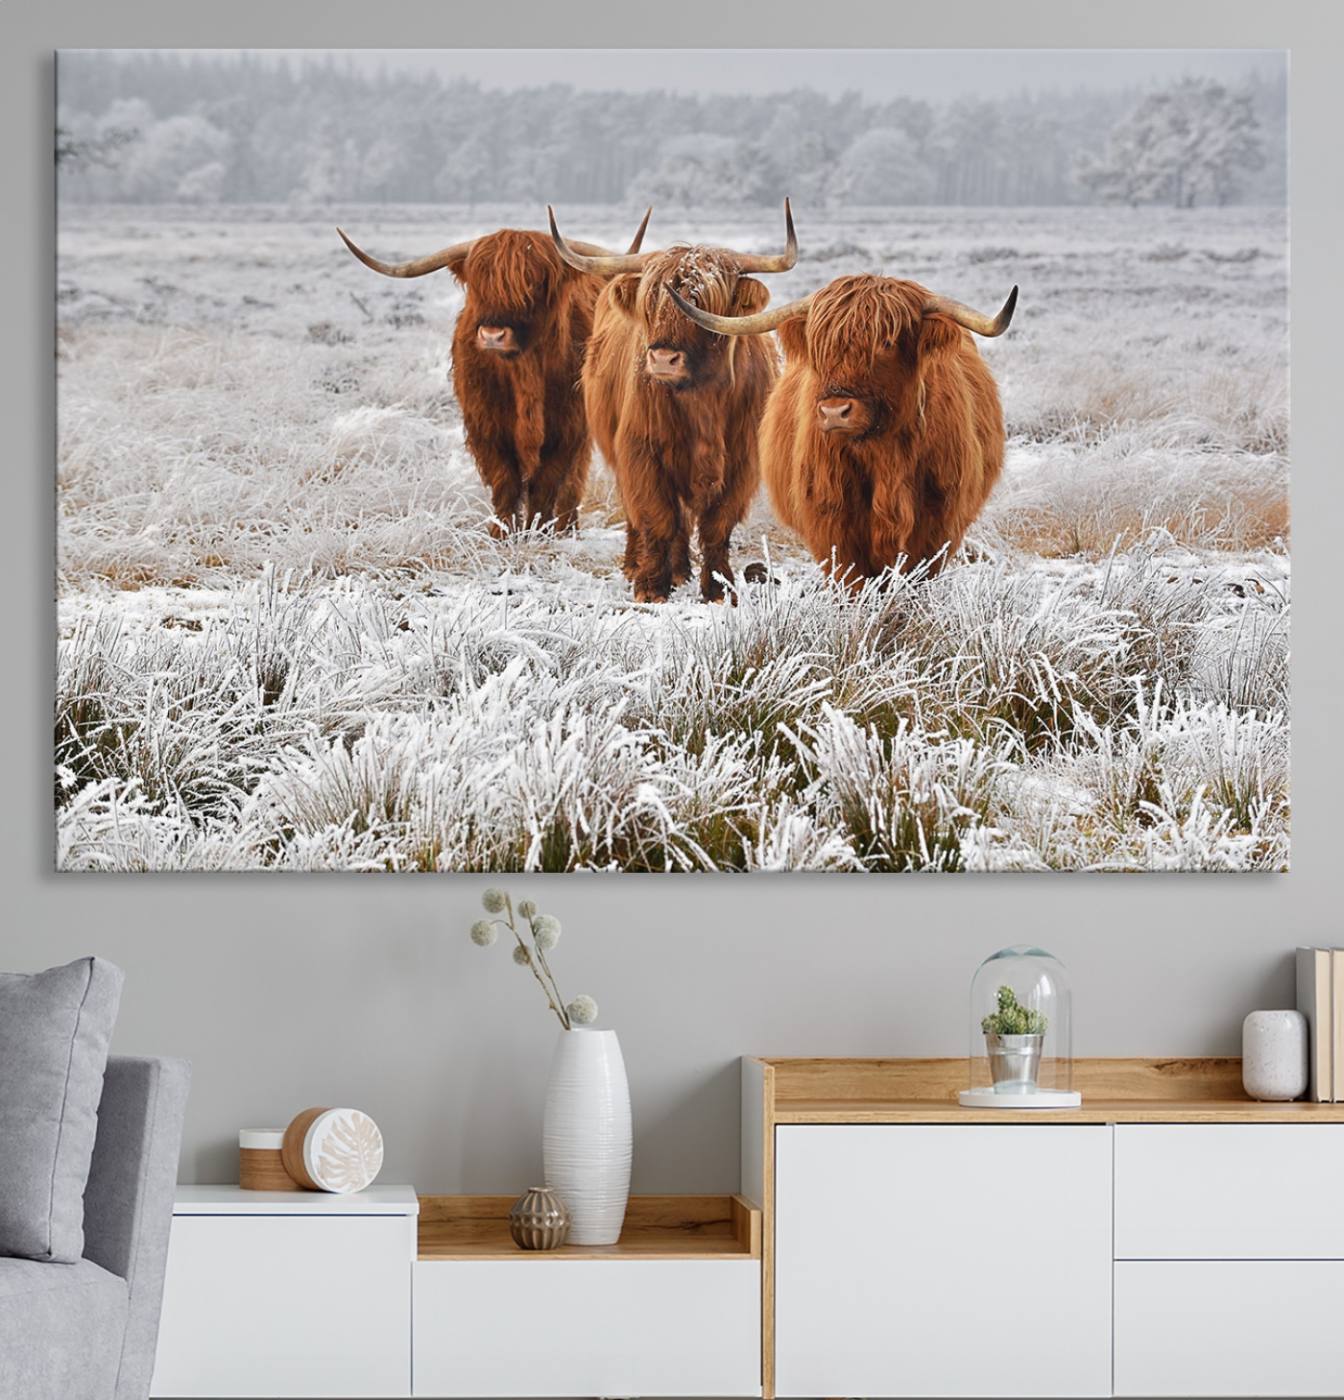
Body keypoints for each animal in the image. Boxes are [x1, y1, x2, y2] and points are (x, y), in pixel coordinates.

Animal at [337, 213, 650, 535]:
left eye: (535, 283)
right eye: (479, 284)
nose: (492, 335)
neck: (524, 373)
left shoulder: (568, 427)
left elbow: (546, 483)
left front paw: (539, 531)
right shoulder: (486, 426)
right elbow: (505, 482)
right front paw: (501, 534)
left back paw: (566, 527)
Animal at [548, 201, 797, 603]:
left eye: (704, 303)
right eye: (651, 302)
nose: (663, 358)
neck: (702, 402)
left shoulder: (742, 462)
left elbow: (716, 525)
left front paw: (719, 587)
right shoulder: (641, 452)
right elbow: (657, 517)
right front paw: (650, 585)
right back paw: (641, 565)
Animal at [668, 275, 1017, 584]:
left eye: (887, 342)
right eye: (819, 346)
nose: (835, 411)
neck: (884, 457)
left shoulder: (937, 526)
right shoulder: (832, 524)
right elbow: (852, 582)